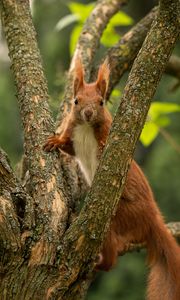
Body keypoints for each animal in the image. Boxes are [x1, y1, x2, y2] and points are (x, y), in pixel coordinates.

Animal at [44, 56, 180, 300]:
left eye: (101, 102)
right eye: (76, 101)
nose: (88, 113)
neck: (86, 128)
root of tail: (152, 217)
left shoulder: (109, 136)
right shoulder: (74, 138)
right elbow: (67, 147)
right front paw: (54, 142)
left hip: (120, 217)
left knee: (111, 255)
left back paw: (100, 262)